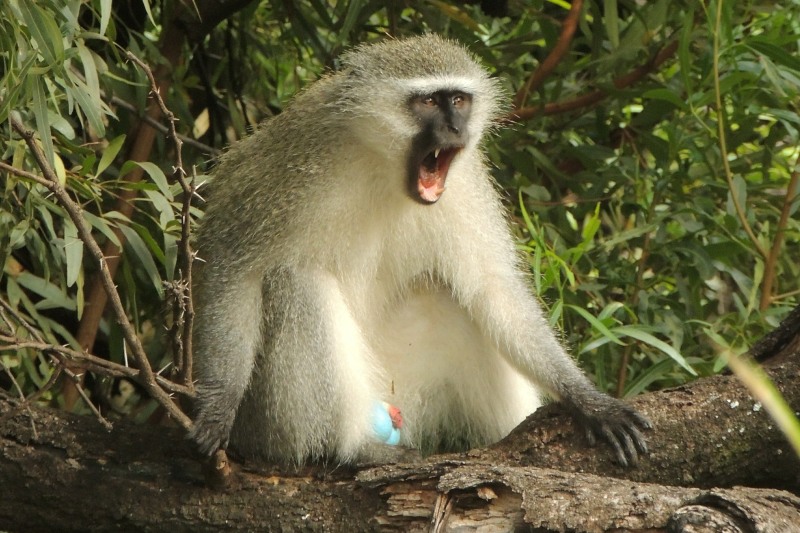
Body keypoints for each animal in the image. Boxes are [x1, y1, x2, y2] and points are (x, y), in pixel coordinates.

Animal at [189, 34, 651, 467]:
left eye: (459, 101)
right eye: (428, 101)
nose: (457, 130)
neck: (383, 163)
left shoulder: (466, 183)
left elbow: (493, 288)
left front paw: (587, 399)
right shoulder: (287, 169)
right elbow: (233, 266)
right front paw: (218, 404)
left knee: (453, 297)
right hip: (275, 422)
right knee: (297, 281)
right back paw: (353, 449)